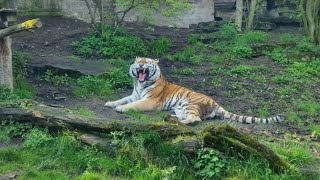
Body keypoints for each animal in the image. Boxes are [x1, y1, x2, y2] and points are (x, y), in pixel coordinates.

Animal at [104, 57, 282, 124]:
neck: (140, 84)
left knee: (195, 119)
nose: (140, 65)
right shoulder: (133, 95)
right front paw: (110, 103)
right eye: (138, 61)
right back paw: (172, 118)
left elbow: (132, 105)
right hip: (180, 107)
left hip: (189, 104)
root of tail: (215, 102)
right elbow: (122, 99)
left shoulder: (150, 101)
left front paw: (120, 108)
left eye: (147, 62)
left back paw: (179, 122)